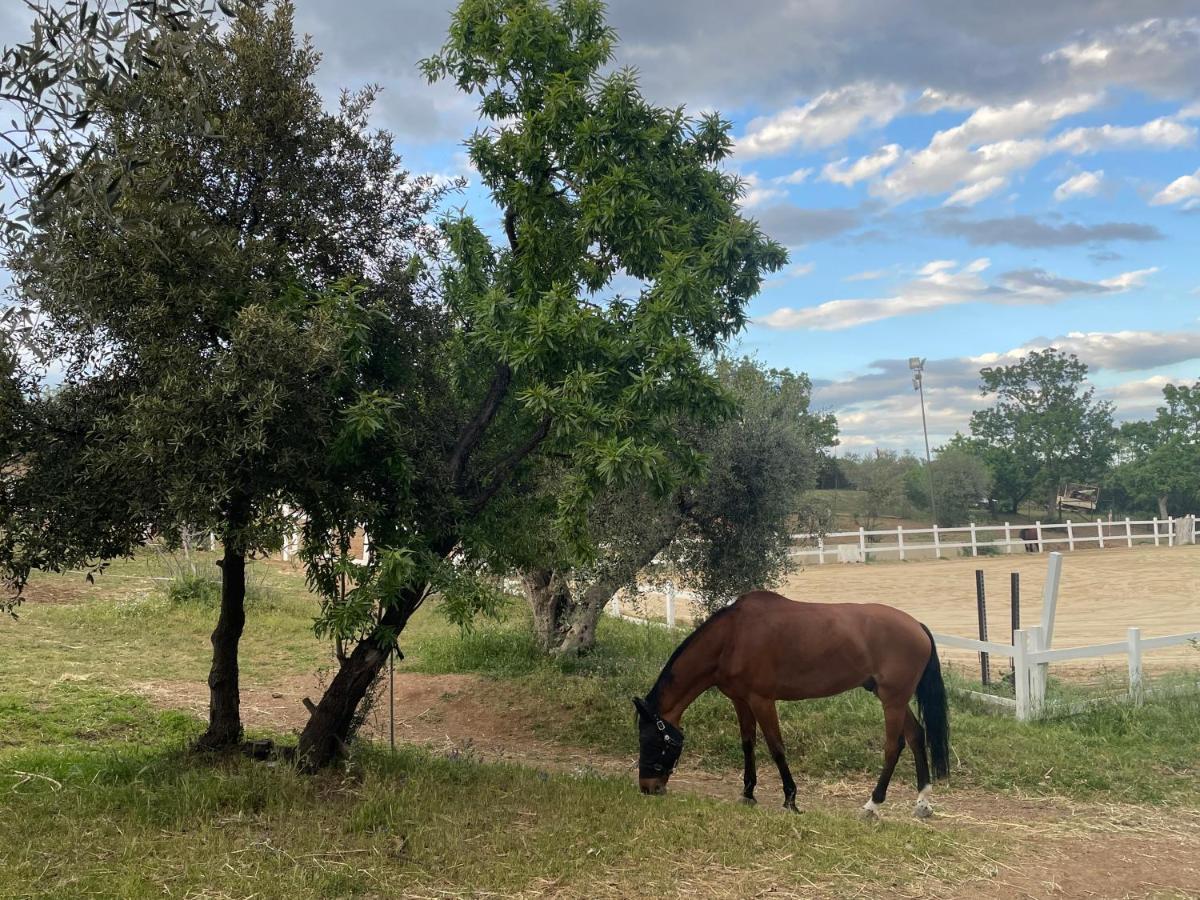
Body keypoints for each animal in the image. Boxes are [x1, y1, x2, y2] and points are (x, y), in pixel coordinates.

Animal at [633, 595, 950, 820]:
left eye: (653, 741)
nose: (648, 788)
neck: (733, 636)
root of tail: (918, 626)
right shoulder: (740, 700)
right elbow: (748, 744)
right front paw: (748, 793)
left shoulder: (762, 700)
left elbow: (776, 748)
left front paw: (790, 799)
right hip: (893, 697)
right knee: (916, 736)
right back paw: (922, 801)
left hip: (893, 699)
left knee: (893, 746)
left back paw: (872, 805)